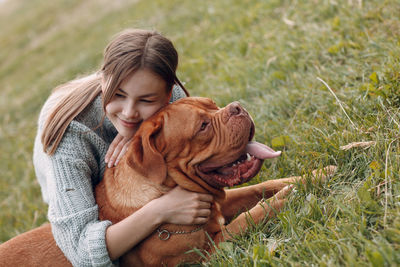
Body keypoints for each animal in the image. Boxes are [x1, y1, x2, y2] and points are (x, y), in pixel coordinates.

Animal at [0, 97, 334, 266]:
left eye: (214, 105)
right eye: (203, 126)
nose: (237, 107)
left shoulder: (221, 204)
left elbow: (264, 185)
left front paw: (314, 176)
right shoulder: (208, 249)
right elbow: (251, 216)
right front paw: (285, 198)